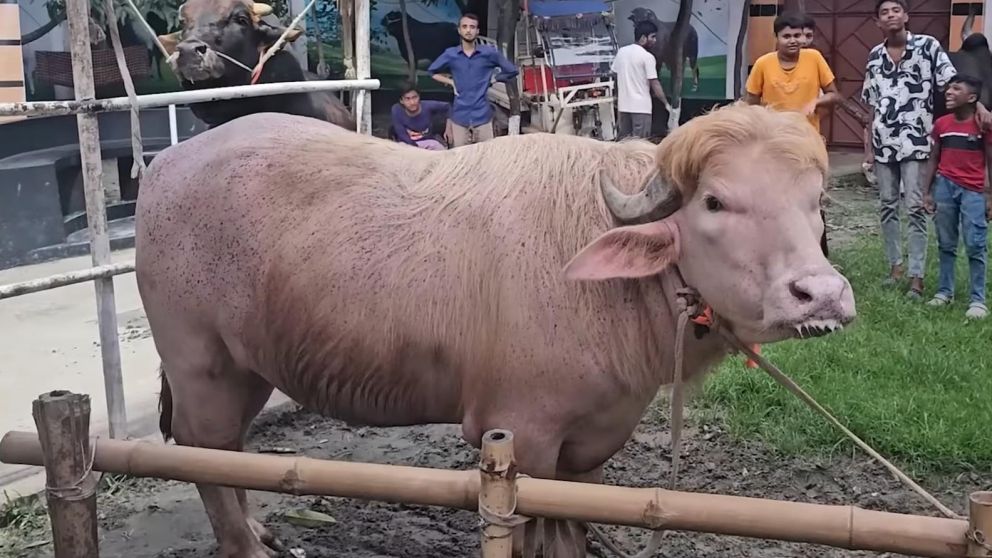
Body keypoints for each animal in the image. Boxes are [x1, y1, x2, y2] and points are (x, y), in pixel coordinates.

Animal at [135, 103, 855, 557]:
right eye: (714, 201)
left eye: (814, 202)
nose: (821, 294)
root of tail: (163, 168)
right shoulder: (522, 437)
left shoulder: (590, 448)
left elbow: (574, 534)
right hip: (198, 361)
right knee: (203, 447)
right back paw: (244, 544)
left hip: (248, 367)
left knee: (230, 447)